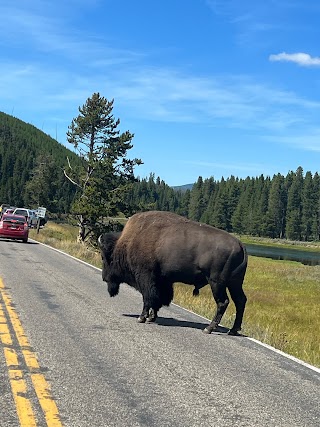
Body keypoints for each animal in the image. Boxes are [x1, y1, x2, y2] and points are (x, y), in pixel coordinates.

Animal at [99, 212, 249, 336]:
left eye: (104, 257)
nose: (104, 278)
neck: (129, 241)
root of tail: (240, 244)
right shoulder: (162, 281)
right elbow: (158, 298)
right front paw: (151, 317)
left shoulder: (145, 277)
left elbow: (148, 297)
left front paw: (141, 318)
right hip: (234, 283)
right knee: (240, 301)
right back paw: (233, 330)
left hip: (217, 282)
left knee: (223, 302)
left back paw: (209, 328)